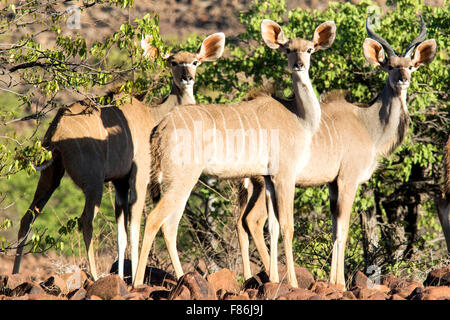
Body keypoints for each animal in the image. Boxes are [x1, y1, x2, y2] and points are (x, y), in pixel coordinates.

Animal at [13, 32, 225, 282]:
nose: (187, 78)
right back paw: (95, 276)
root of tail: (56, 130)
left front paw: (124, 277)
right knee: (86, 221)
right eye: (173, 62)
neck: (153, 114)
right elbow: (134, 226)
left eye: (195, 62)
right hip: (93, 182)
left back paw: (15, 274)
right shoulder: (138, 177)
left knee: (28, 216)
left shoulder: (119, 183)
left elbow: (121, 233)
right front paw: (134, 280)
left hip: (50, 175)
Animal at [134, 20, 338, 288]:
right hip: (181, 179)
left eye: (310, 49)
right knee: (155, 219)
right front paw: (292, 283)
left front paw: (274, 279)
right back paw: (137, 282)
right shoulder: (284, 176)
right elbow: (287, 225)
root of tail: (161, 128)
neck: (298, 116)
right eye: (287, 50)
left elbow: (271, 226)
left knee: (169, 224)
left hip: (173, 183)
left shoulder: (268, 179)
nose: (299, 64)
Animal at [237, 15, 438, 288]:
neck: (367, 124)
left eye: (411, 66)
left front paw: (333, 280)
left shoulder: (332, 184)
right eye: (389, 66)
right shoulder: (347, 180)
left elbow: (334, 228)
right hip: (266, 182)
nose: (402, 79)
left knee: (246, 222)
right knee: (254, 220)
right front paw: (339, 283)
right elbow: (343, 228)